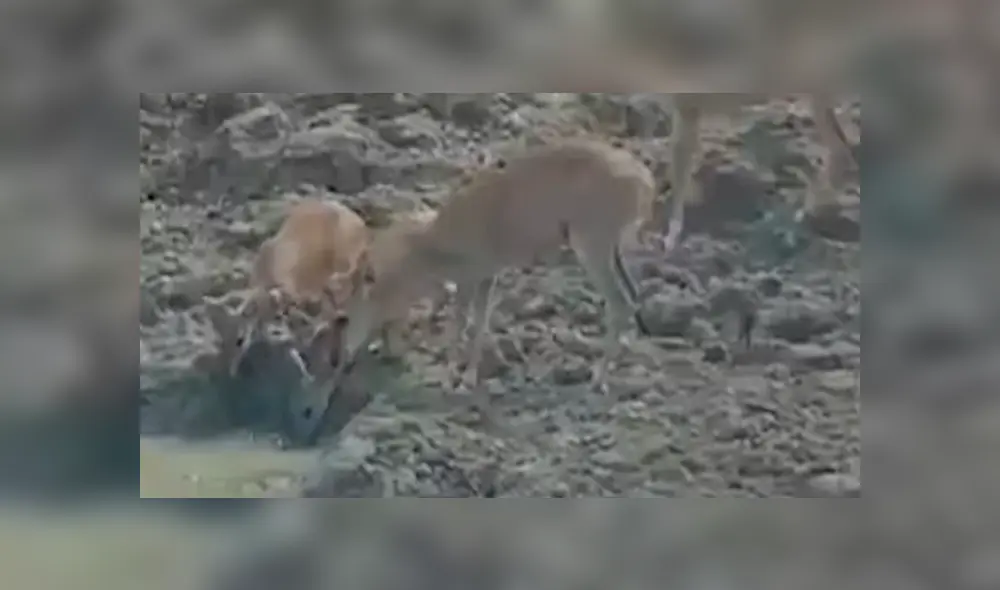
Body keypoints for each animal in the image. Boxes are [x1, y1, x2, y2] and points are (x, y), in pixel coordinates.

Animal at [286, 138, 690, 441]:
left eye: (341, 318)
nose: (307, 412)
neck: (428, 242)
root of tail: (644, 180)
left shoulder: (468, 281)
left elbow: (458, 326)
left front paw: (449, 379)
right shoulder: (485, 279)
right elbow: (478, 326)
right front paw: (467, 379)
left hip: (593, 246)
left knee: (618, 301)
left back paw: (598, 380)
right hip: (614, 250)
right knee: (632, 296)